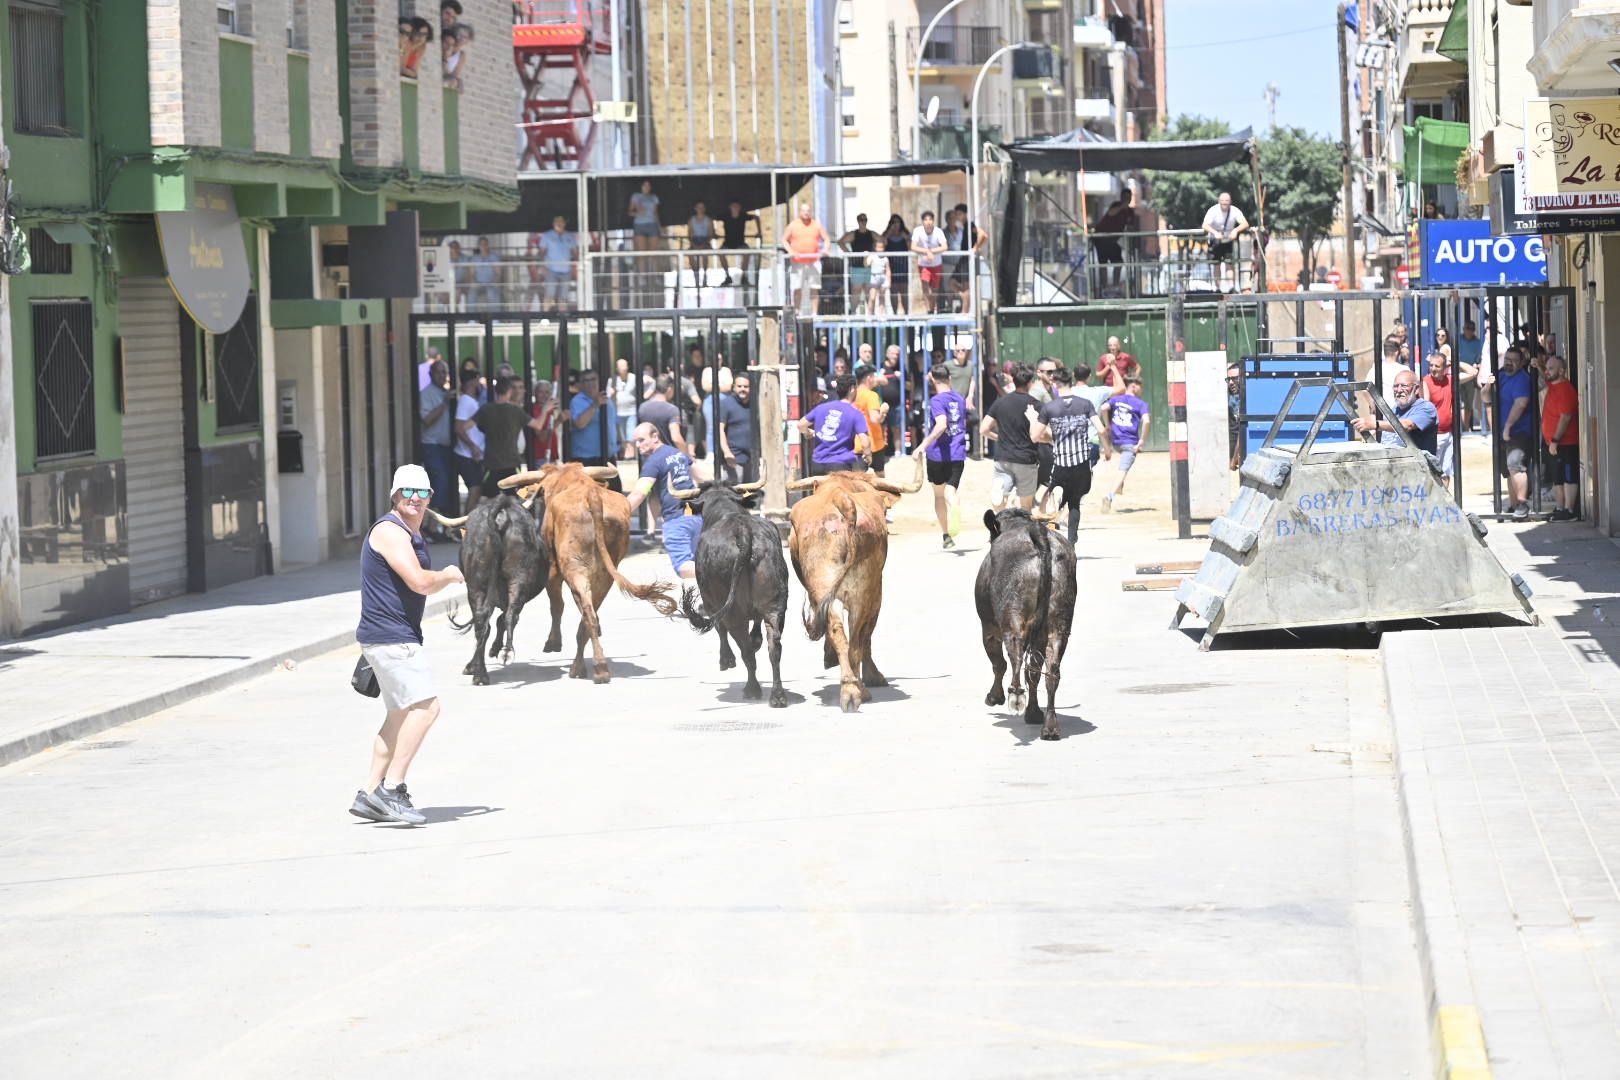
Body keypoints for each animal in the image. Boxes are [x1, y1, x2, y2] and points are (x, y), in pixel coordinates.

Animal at [492, 459, 670, 680]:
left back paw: (592, 668)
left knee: (585, 611)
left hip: (574, 568)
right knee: (589, 612)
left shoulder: (552, 568)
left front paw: (553, 642)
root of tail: (592, 496)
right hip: (605, 575)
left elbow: (557, 605)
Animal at [670, 482, 790, 709]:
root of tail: (744, 533)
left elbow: (720, 628)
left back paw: (752, 689)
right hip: (776, 605)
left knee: (745, 650)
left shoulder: (711, 603)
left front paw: (726, 660)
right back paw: (777, 696)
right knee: (774, 647)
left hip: (732, 610)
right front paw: (755, 639)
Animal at [787, 453, 926, 712]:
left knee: (839, 632)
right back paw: (857, 689)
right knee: (856, 638)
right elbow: (866, 635)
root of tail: (842, 501)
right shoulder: (876, 593)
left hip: (825, 587)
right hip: (864, 592)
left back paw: (850, 689)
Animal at [972, 511, 1075, 738]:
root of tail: (1038, 535)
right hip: (1059, 626)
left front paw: (995, 697)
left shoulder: (988, 627)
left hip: (1012, 619)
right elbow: (1034, 671)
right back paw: (1048, 724)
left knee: (1015, 656)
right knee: (1050, 672)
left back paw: (1016, 695)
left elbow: (998, 663)